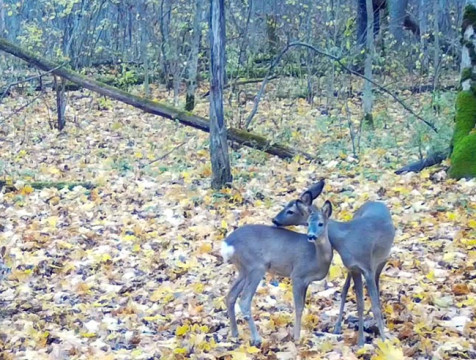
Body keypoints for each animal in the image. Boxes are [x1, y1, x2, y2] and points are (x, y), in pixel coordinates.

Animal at [221, 180, 332, 346]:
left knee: (230, 296)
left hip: (243, 269)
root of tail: (227, 244)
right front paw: (297, 337)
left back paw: (235, 334)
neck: (316, 257)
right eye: (308, 223)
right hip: (256, 267)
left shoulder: (307, 281)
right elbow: (298, 307)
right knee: (244, 300)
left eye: (321, 224)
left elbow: (302, 305)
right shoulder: (297, 275)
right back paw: (257, 339)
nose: (311, 236)